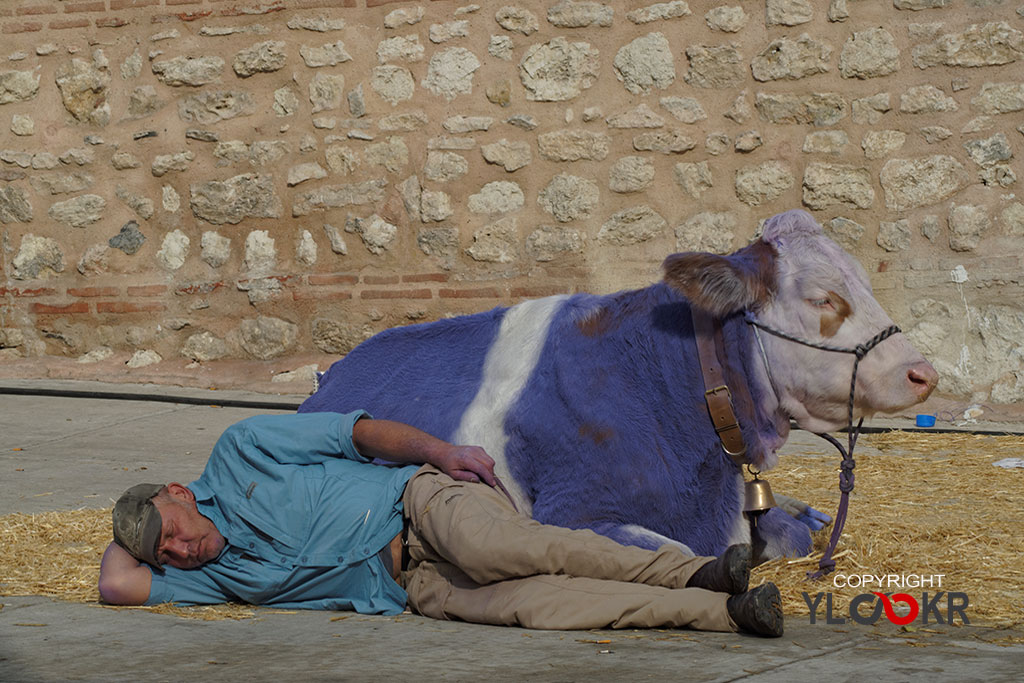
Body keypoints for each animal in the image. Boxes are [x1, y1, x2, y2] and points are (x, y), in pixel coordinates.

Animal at [299, 211, 937, 561]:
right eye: (824, 299)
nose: (923, 374)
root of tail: (332, 377)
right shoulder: (569, 512)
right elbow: (678, 554)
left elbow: (788, 535)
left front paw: (802, 520)